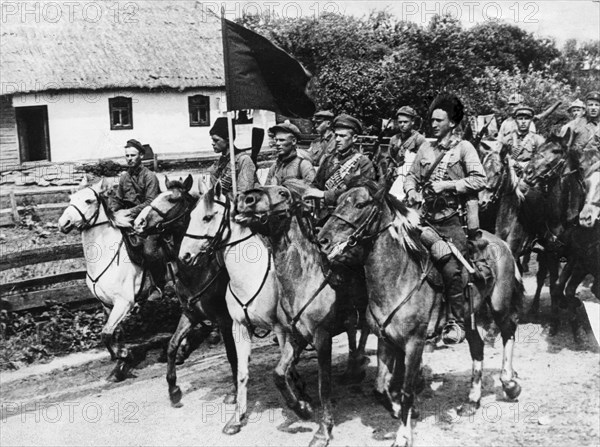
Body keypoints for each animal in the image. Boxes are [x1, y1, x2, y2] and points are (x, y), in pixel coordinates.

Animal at [57, 178, 148, 382]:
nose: (63, 223)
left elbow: (105, 334)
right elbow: (115, 333)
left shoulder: (124, 302)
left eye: (89, 200)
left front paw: (123, 355)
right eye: (71, 199)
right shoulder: (108, 304)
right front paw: (120, 365)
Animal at [135, 177, 238, 408]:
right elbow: (172, 345)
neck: (199, 269)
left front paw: (236, 391)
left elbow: (232, 354)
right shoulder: (190, 314)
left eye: (172, 199)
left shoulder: (225, 320)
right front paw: (173, 389)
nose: (138, 223)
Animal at [178, 180, 286, 436]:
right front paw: (236, 419)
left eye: (207, 217)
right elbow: (242, 372)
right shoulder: (238, 327)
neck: (250, 276)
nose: (183, 256)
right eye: (189, 216)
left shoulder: (280, 329)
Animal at [236, 184, 368, 447]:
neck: (304, 280)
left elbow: (324, 385)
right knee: (352, 334)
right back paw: (352, 369)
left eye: (283, 193)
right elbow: (278, 374)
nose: (247, 199)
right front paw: (302, 409)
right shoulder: (295, 337)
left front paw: (323, 430)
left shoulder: (322, 338)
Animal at [318, 178, 520, 447]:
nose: (322, 239)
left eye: (360, 204)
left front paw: (403, 435)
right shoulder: (386, 340)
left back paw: (509, 383)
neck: (398, 278)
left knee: (509, 331)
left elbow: (406, 391)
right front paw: (399, 411)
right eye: (338, 202)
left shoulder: (415, 343)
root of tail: (501, 242)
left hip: (499, 305)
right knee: (477, 347)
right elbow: (381, 387)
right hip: (467, 317)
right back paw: (472, 400)